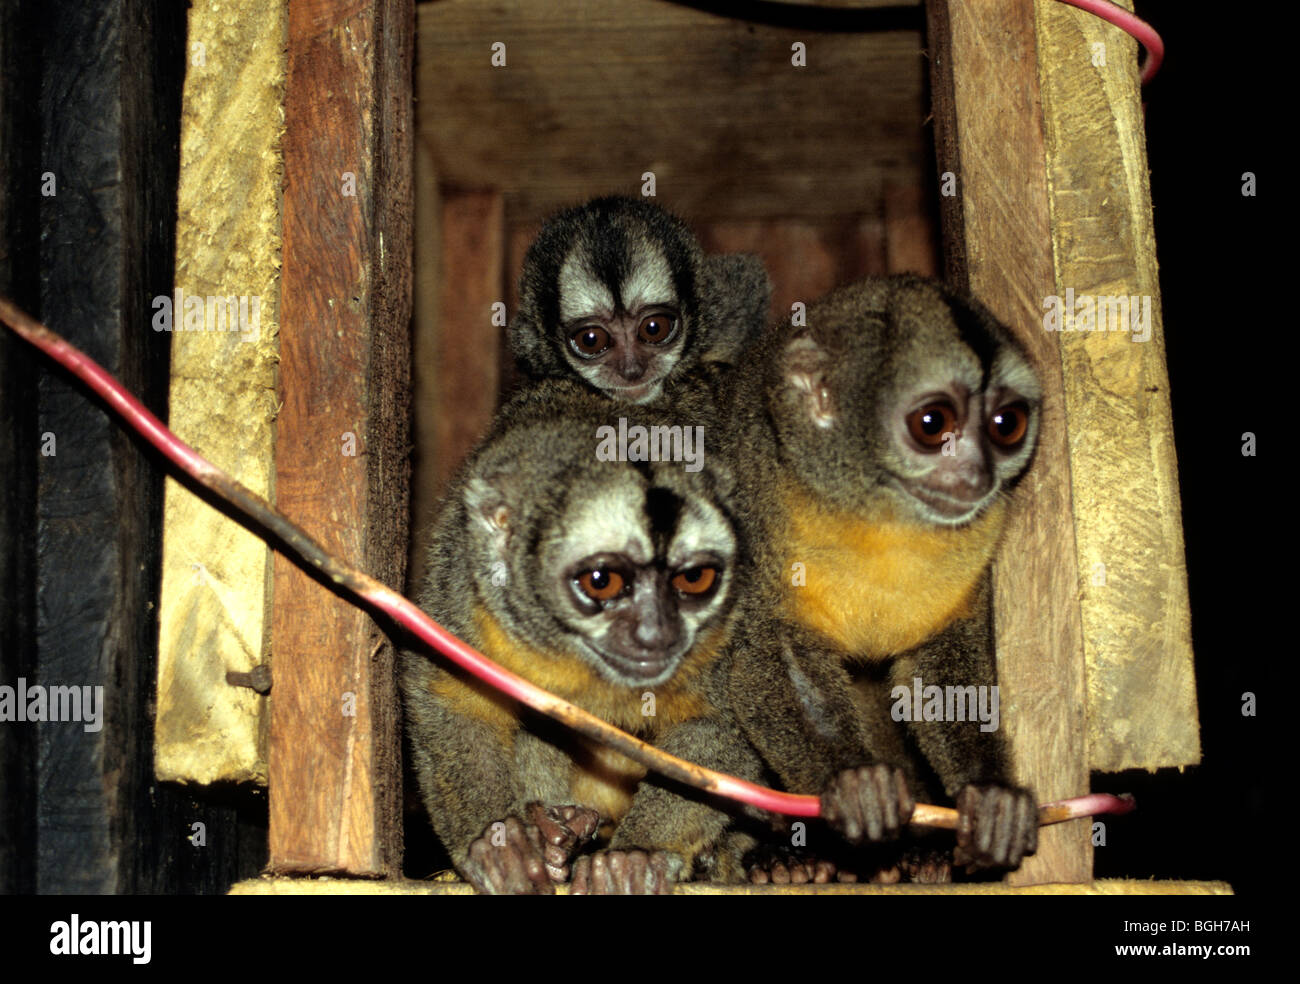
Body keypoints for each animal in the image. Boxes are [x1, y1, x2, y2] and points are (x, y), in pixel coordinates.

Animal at [397, 379, 759, 894]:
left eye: (695, 579)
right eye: (601, 581)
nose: (657, 634)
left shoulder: (735, 625)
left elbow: (727, 725)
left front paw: (637, 855)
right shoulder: (465, 587)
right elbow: (447, 693)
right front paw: (498, 843)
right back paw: (555, 837)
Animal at [728, 272, 1040, 873]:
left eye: (1006, 424)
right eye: (932, 424)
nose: (979, 475)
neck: (881, 511)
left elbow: (937, 660)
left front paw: (991, 799)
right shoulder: (750, 503)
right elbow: (761, 653)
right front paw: (854, 783)